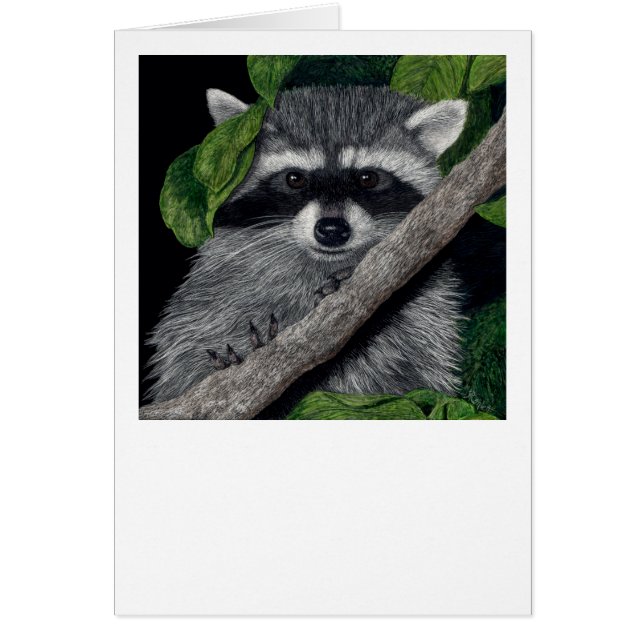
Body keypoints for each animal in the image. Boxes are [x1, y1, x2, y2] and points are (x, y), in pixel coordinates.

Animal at [147, 85, 505, 416]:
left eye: (367, 178)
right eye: (295, 179)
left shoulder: (425, 319)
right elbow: (189, 357)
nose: (332, 230)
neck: (321, 263)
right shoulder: (209, 306)